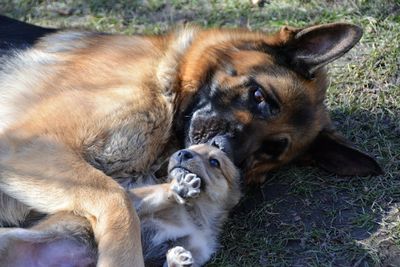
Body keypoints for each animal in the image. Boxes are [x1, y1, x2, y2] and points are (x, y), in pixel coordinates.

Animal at [0, 146, 241, 266]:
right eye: (189, 146)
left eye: (214, 162)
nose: (182, 152)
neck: (196, 216)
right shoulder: (133, 204)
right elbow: (155, 193)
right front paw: (179, 188)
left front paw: (176, 261)